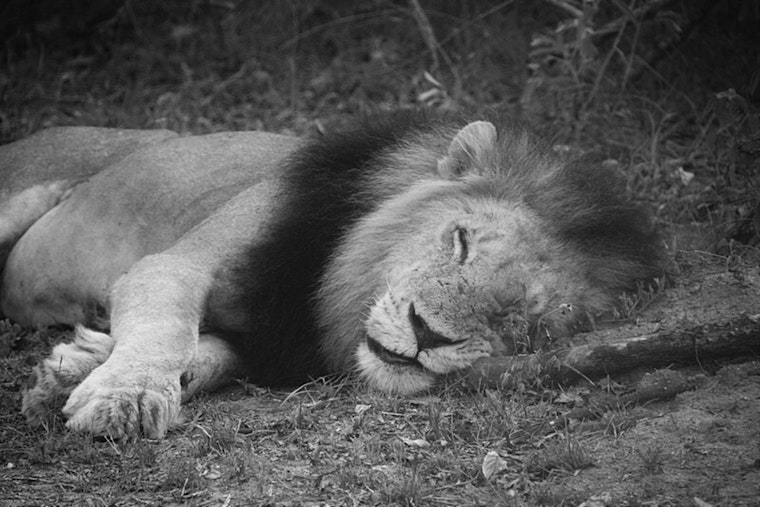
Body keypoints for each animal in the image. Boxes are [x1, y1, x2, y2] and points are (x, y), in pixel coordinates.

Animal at [0, 111, 663, 438]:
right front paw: (125, 396)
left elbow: (209, 355)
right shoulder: (178, 263)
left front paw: (72, 373)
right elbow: (167, 325)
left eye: (522, 319)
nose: (427, 334)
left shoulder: (268, 347)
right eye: (461, 241)